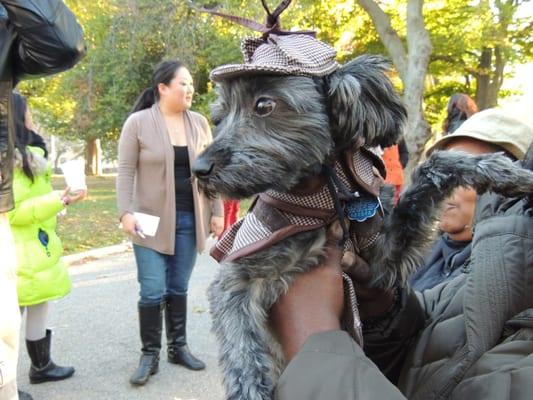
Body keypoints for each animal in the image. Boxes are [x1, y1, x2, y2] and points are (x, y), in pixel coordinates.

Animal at [191, 54, 532, 398]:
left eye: (263, 105)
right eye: (219, 117)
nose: (198, 168)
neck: (325, 204)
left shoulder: (382, 260)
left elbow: (433, 167)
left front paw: (508, 174)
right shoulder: (242, 274)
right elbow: (241, 346)